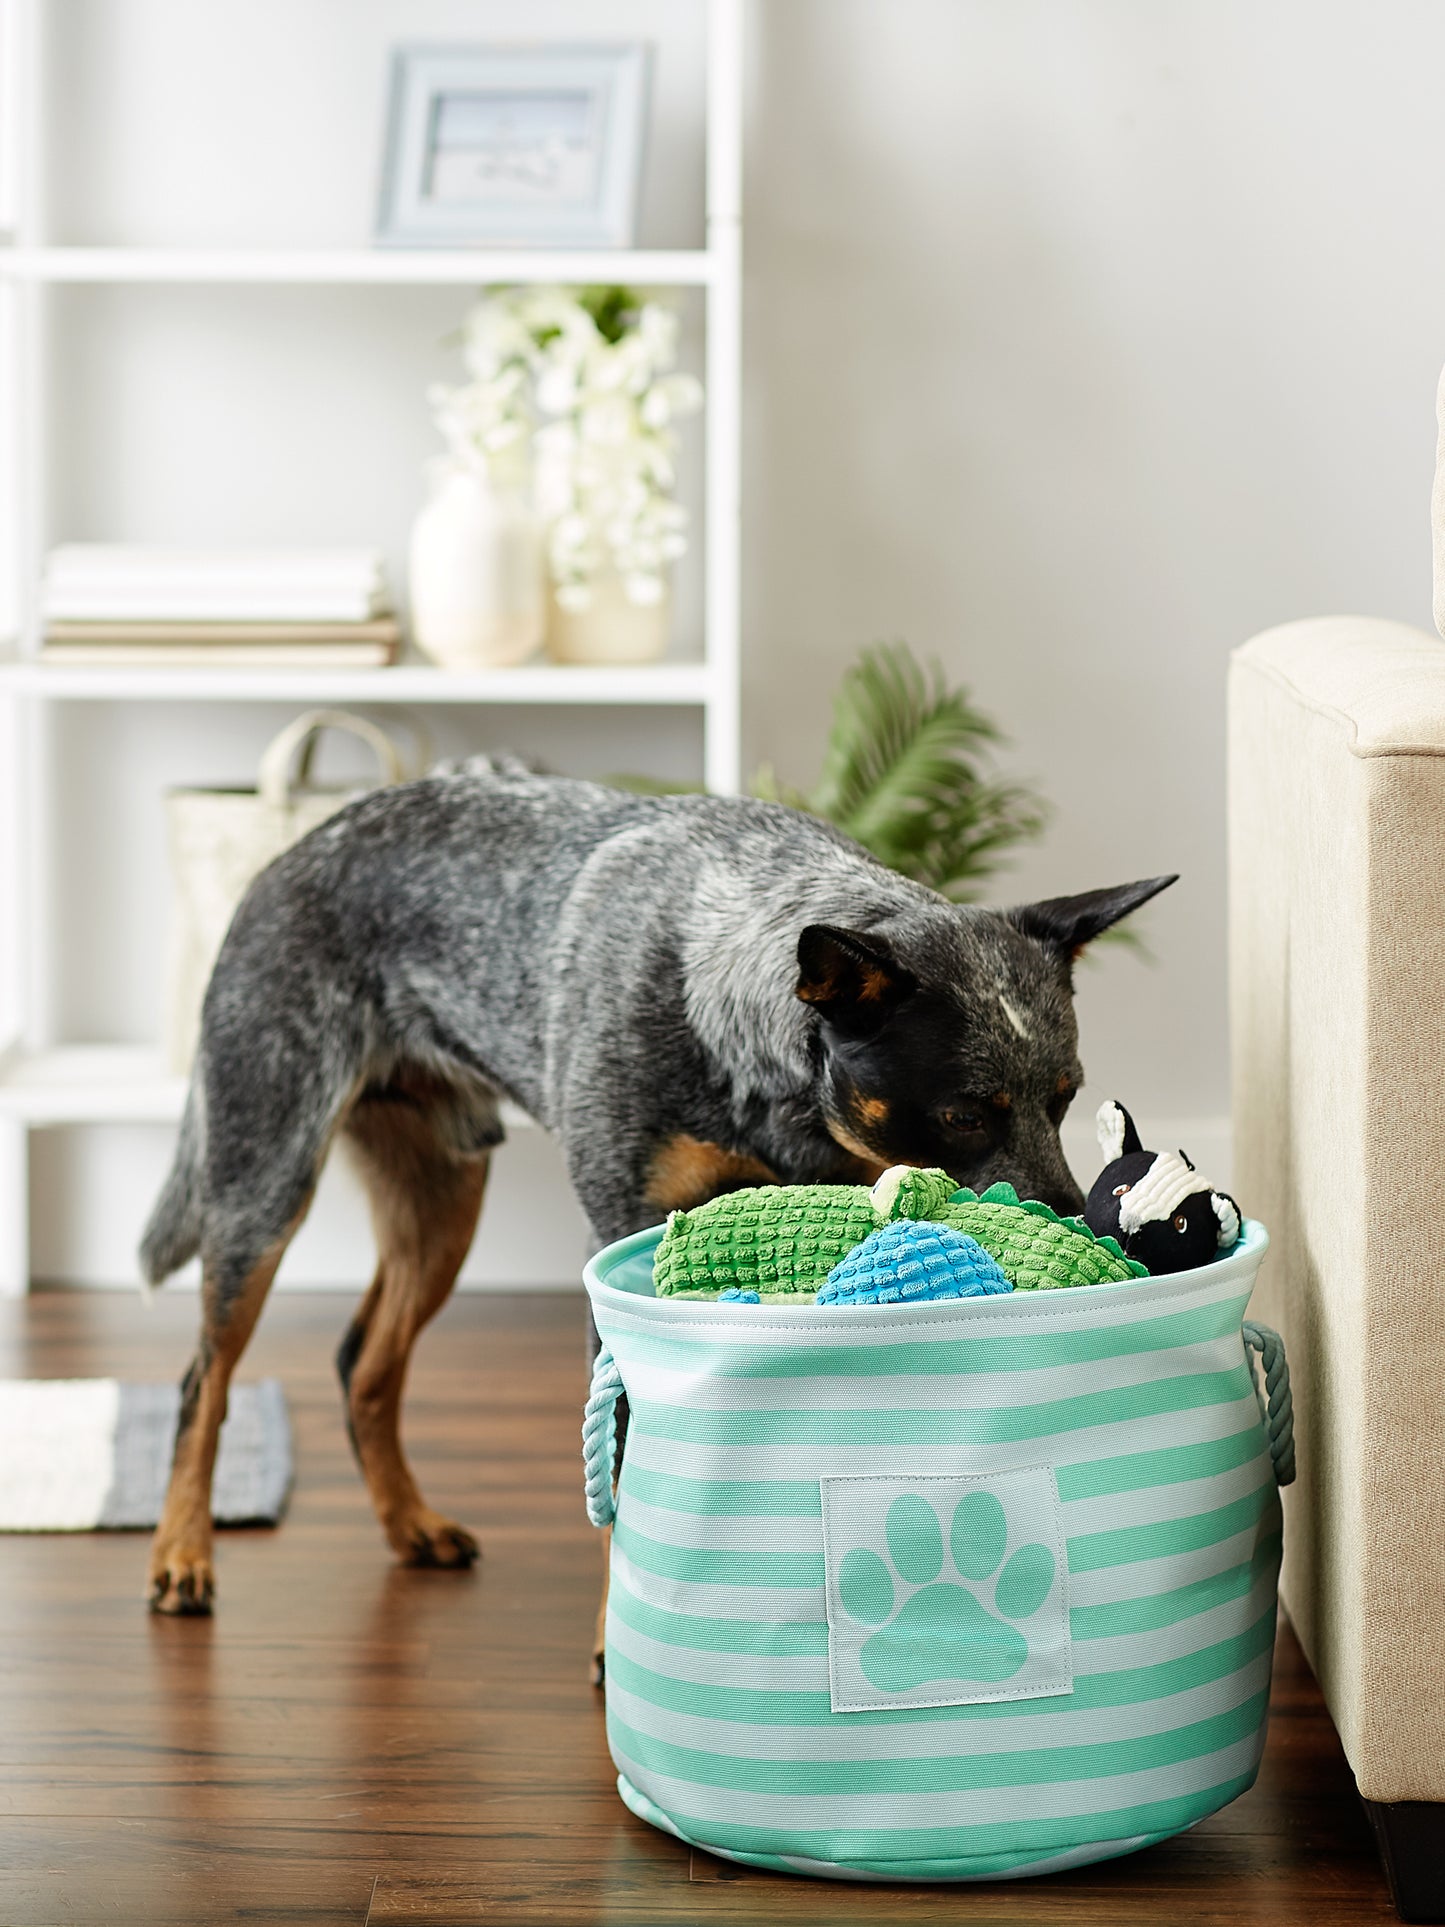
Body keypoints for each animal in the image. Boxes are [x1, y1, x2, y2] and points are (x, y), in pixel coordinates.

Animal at [135, 759, 1179, 1618]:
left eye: (1066, 1097)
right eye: (964, 1114)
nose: (1084, 1232)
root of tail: (293, 850)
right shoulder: (622, 1243)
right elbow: (627, 1460)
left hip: (442, 1201)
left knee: (364, 1361)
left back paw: (409, 1524)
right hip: (264, 1177)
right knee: (203, 1378)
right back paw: (181, 1554)